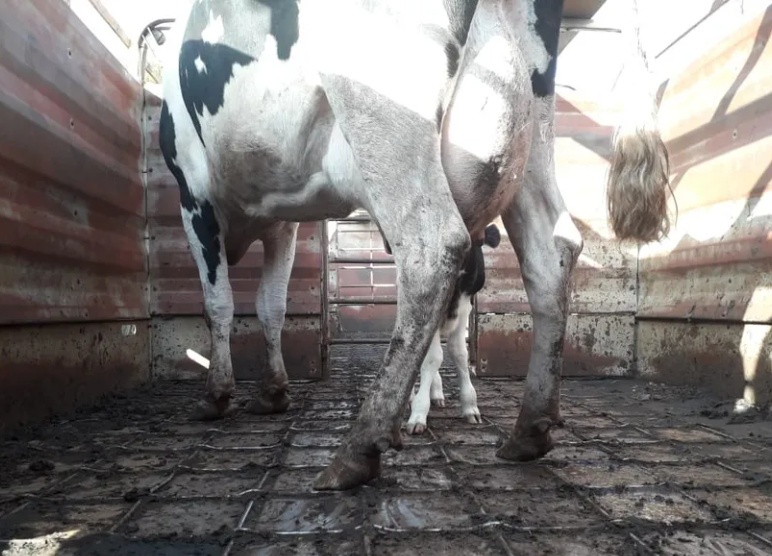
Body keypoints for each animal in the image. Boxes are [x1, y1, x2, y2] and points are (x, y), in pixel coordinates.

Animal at [402, 223, 501, 434]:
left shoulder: (464, 308)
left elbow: (459, 354)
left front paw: (470, 406)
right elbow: (432, 358)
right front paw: (418, 412)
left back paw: (436, 393)